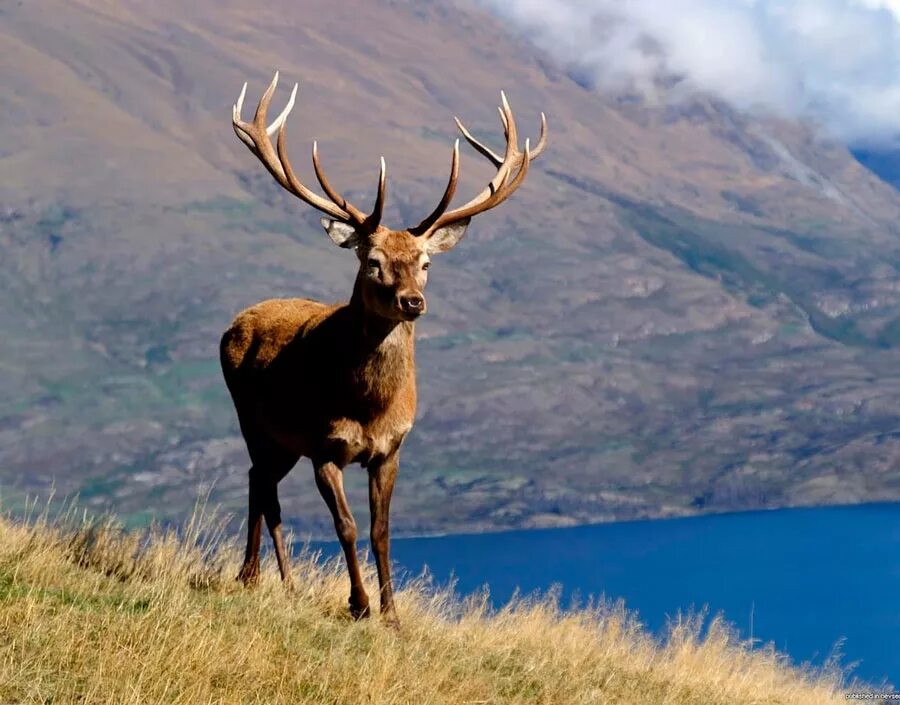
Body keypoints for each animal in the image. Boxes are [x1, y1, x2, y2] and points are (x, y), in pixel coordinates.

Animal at [221, 70, 544, 620]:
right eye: (373, 262)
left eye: (425, 262)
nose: (413, 301)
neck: (369, 407)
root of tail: (234, 323)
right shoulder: (323, 446)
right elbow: (347, 526)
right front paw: (359, 604)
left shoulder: (391, 448)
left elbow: (381, 531)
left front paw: (391, 614)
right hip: (254, 422)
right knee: (260, 483)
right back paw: (251, 576)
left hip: (282, 442)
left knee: (263, 484)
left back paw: (283, 582)